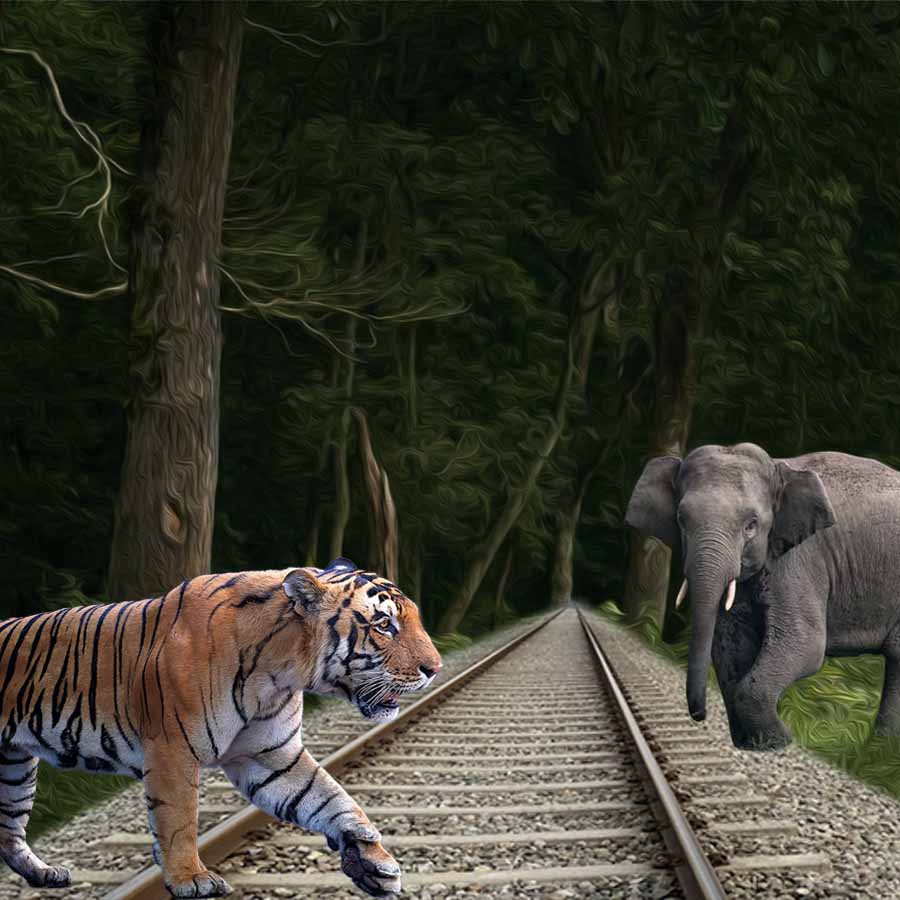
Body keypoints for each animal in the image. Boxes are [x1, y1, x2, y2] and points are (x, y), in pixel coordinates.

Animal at [0, 557, 442, 898]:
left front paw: (372, 859)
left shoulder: (270, 754)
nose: (434, 669)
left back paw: (46, 875)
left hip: (14, 768)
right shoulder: (172, 750)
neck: (280, 672)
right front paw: (190, 879)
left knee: (9, 829)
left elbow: (330, 797)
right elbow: (179, 819)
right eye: (383, 625)